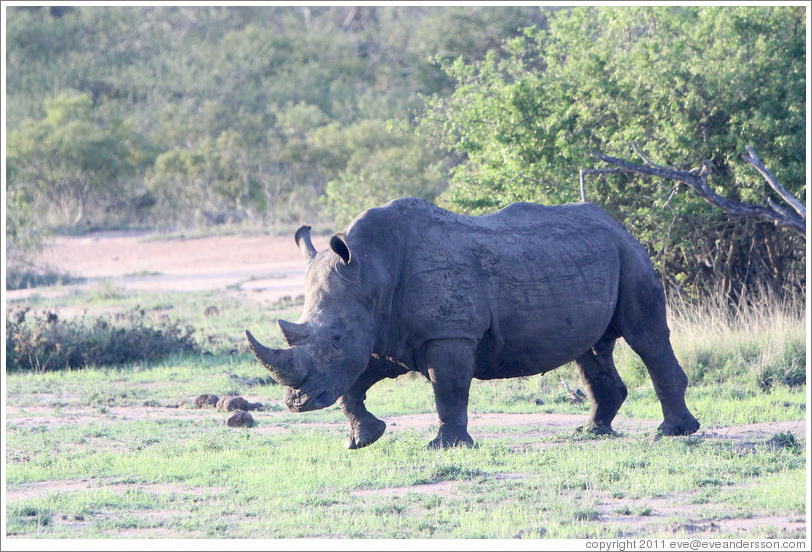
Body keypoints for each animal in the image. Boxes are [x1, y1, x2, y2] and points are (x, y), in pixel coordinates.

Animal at [246, 198, 700, 449]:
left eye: (336, 337)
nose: (298, 404)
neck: (371, 270)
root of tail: (616, 222)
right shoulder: (386, 332)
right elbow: (354, 383)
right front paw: (361, 440)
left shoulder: (449, 333)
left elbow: (448, 390)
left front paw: (446, 447)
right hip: (597, 257)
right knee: (591, 351)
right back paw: (590, 432)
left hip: (630, 255)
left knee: (646, 336)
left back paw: (671, 433)